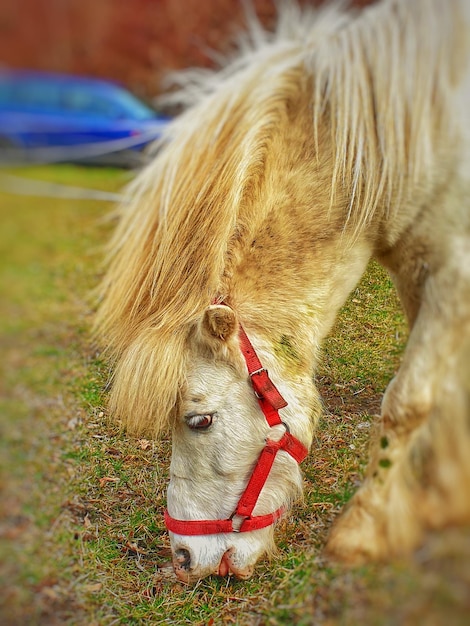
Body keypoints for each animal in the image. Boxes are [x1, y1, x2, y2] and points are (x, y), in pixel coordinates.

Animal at [94, 0, 470, 580]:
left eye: (199, 420)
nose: (183, 558)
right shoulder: (419, 271)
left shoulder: (454, 270)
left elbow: (408, 403)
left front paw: (363, 530)